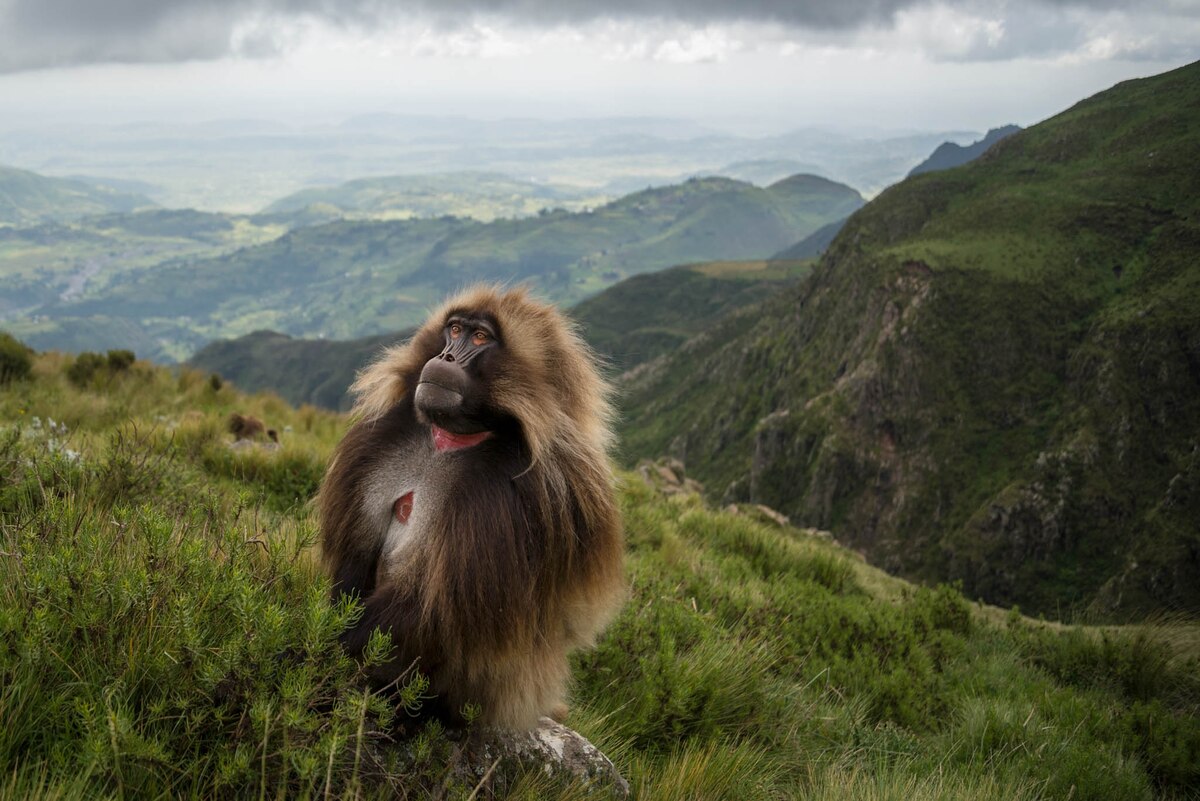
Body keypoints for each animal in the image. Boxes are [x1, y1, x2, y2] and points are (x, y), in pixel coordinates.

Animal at [318, 286, 625, 729]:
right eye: (454, 329)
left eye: (480, 338)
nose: (445, 357)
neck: (454, 438)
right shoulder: (381, 442)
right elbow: (356, 560)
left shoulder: (513, 493)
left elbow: (437, 610)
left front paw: (324, 651)